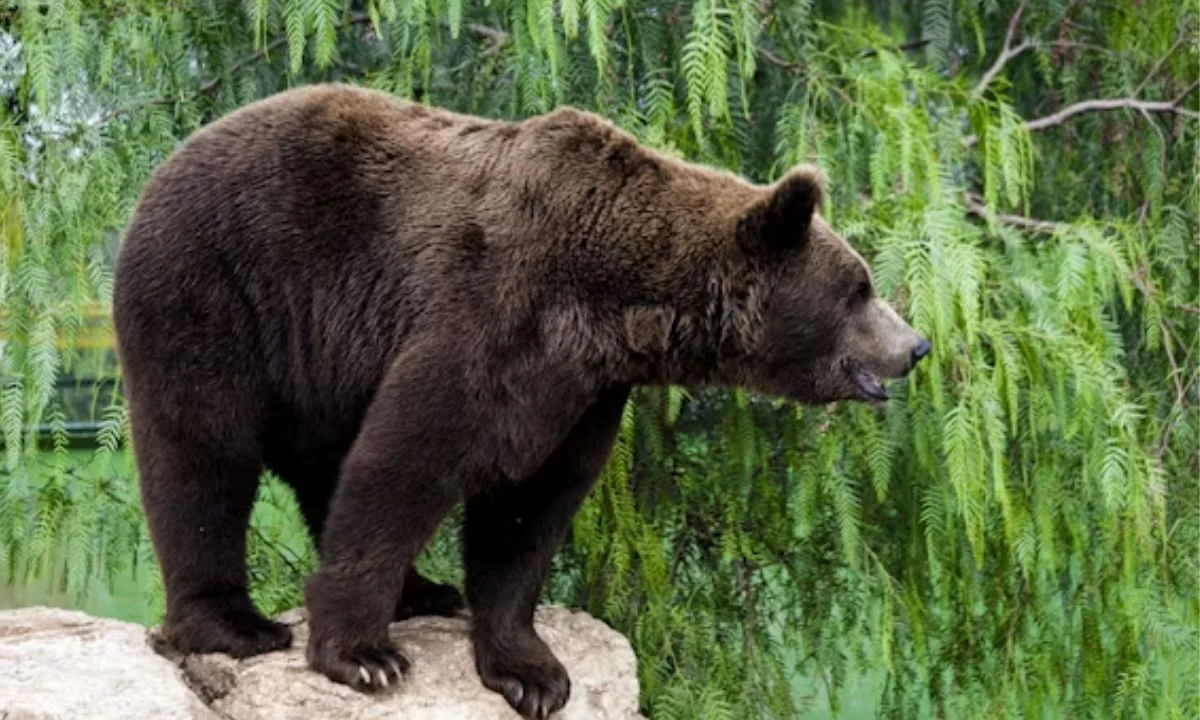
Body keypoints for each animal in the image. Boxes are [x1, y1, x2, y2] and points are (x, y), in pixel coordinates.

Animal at [111, 83, 930, 719]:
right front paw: (365, 655)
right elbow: (405, 464)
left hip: (319, 358)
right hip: (218, 291)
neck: (619, 301)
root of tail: (166, 163)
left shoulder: (584, 391)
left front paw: (531, 672)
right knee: (203, 453)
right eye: (859, 287)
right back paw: (234, 624)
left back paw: (425, 591)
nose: (916, 345)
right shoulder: (492, 320)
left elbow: (528, 511)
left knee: (320, 464)